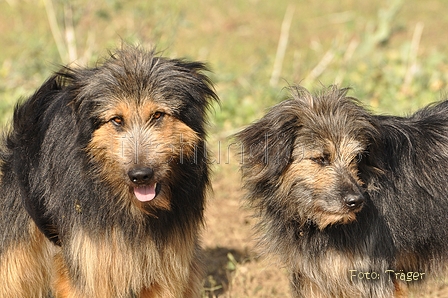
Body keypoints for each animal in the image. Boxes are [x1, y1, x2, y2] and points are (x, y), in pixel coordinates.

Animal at [0, 45, 219, 296]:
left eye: (157, 115)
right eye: (117, 120)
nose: (140, 175)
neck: (137, 210)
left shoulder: (168, 267)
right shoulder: (93, 264)